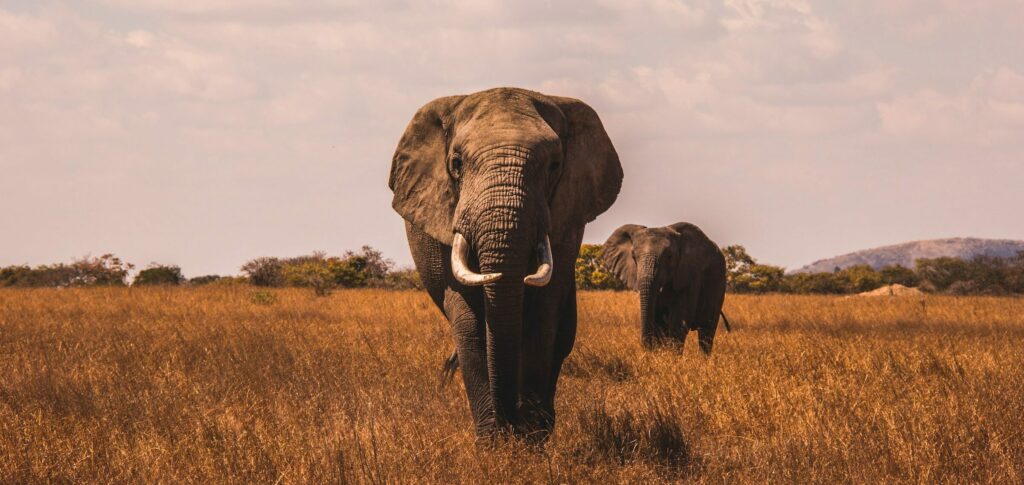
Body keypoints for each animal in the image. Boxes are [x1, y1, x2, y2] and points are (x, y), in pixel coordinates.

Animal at [388, 87, 623, 441]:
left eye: (554, 165)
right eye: (456, 164)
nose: (510, 422)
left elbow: (543, 316)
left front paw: (531, 440)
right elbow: (469, 321)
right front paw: (494, 443)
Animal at [602, 222, 730, 353]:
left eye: (669, 256)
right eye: (633, 256)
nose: (647, 350)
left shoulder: (690, 275)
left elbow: (678, 323)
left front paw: (672, 357)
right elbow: (659, 323)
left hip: (719, 285)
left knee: (707, 332)